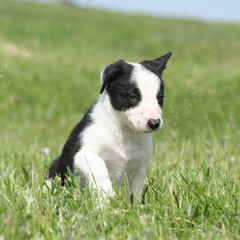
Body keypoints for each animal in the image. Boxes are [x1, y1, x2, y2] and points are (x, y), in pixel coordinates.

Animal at [46, 53, 172, 201]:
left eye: (160, 97)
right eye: (133, 97)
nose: (154, 122)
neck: (124, 131)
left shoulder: (138, 168)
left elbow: (135, 192)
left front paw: (134, 206)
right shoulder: (82, 154)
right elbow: (98, 166)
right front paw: (105, 193)